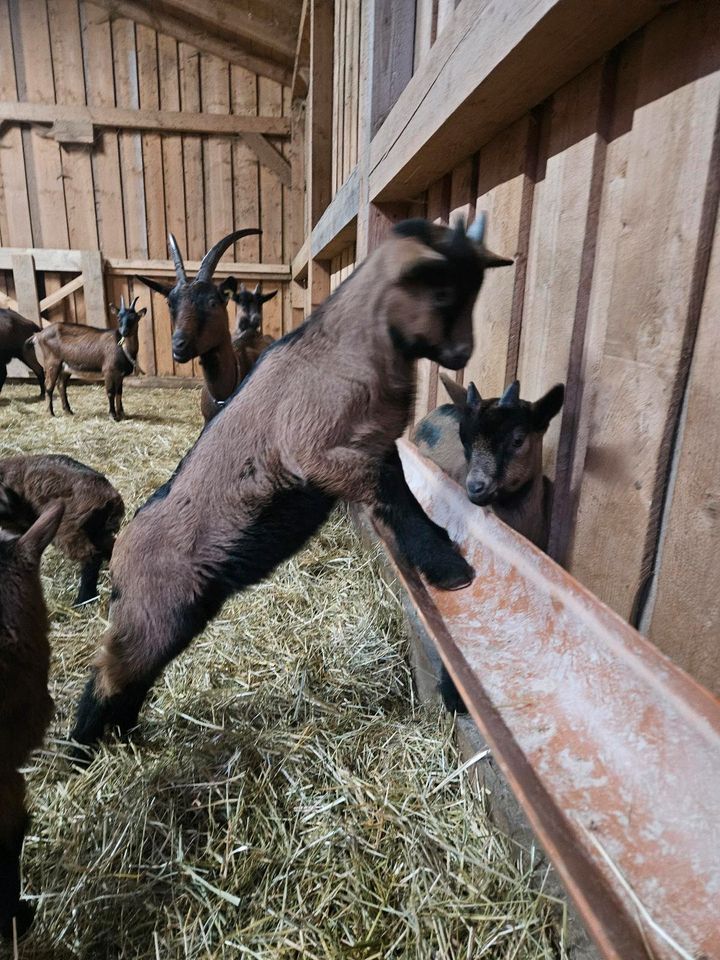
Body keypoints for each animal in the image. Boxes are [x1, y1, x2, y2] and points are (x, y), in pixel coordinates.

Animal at [0, 454, 124, 604]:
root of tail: (112, 499)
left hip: (69, 530)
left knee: (91, 557)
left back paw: (83, 599)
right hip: (96, 531)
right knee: (109, 547)